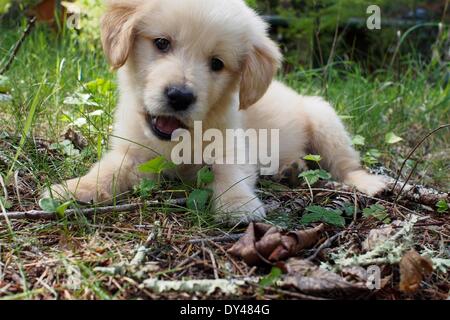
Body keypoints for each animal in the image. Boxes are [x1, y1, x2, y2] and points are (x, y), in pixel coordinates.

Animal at [44, 0, 384, 225]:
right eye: (162, 43)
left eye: (217, 64)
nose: (179, 96)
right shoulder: (132, 150)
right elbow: (107, 170)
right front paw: (75, 188)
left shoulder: (233, 145)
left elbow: (227, 172)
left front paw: (237, 204)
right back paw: (291, 168)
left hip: (325, 119)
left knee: (346, 165)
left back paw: (369, 183)